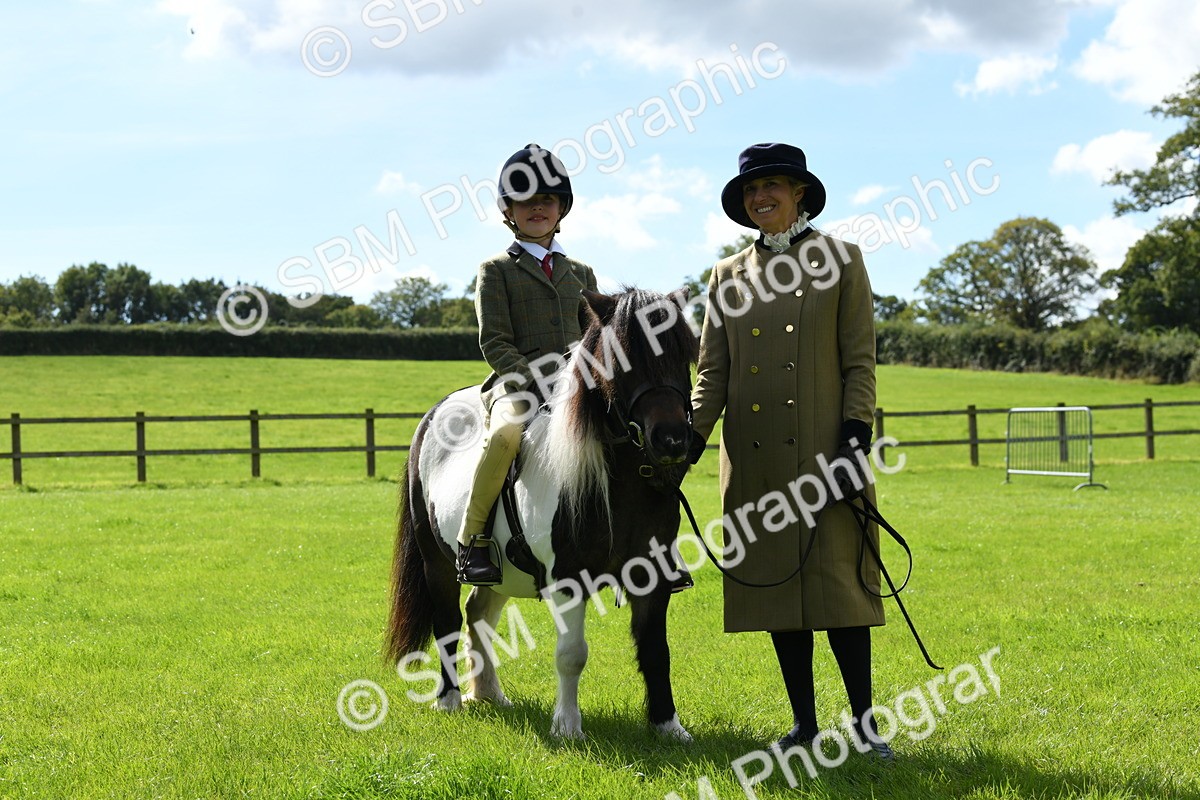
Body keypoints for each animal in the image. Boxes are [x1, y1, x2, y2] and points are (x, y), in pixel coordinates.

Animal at [384, 287, 698, 740]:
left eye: (683, 355)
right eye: (620, 358)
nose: (672, 440)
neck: (618, 482)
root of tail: (433, 415)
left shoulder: (652, 575)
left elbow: (657, 651)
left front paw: (668, 726)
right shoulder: (569, 579)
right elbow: (572, 654)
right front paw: (567, 727)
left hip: (498, 572)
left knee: (479, 614)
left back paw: (489, 693)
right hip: (435, 562)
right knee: (447, 622)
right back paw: (450, 699)